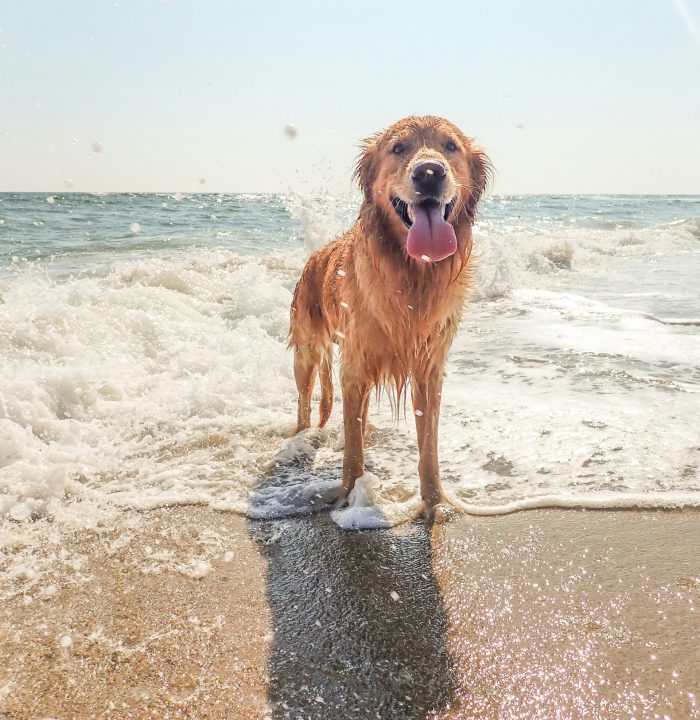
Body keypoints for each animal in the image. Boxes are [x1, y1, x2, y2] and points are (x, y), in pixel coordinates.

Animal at [288, 115, 490, 516]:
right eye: (398, 148)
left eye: (450, 146)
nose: (429, 173)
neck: (412, 274)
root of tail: (314, 257)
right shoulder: (355, 366)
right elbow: (353, 450)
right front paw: (348, 494)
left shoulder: (429, 367)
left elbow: (428, 447)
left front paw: (434, 501)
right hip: (307, 350)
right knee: (304, 401)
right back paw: (302, 440)